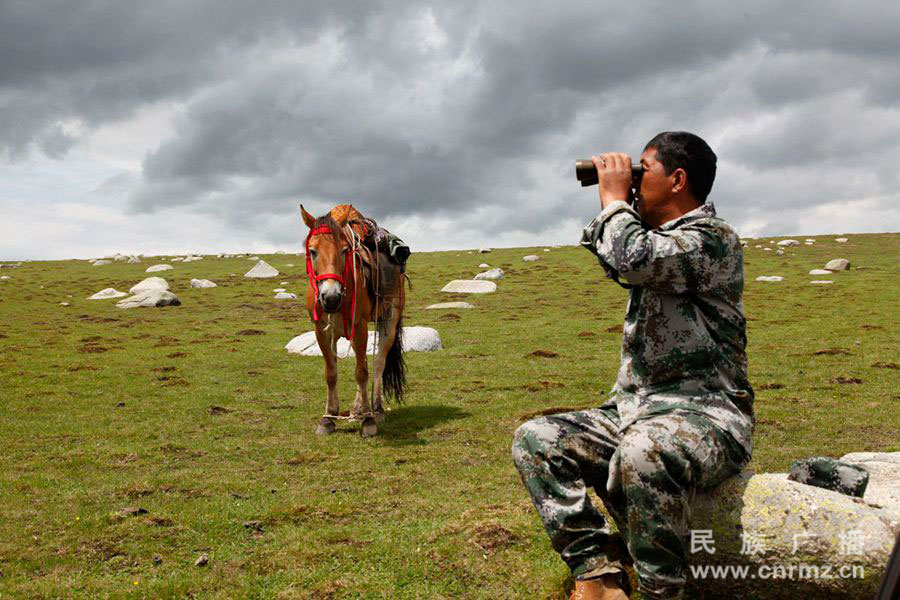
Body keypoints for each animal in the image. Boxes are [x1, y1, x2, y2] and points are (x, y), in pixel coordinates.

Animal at [300, 205, 406, 436]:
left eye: (344, 250)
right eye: (312, 251)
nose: (331, 297)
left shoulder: (359, 327)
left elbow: (361, 372)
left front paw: (368, 421)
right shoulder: (321, 330)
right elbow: (331, 373)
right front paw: (328, 418)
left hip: (389, 320)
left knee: (377, 363)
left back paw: (375, 409)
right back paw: (357, 409)